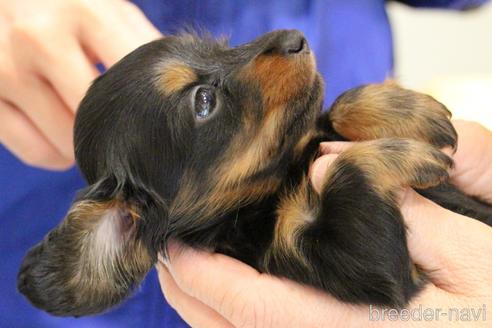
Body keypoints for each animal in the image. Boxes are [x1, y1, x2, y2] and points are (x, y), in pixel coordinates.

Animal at [16, 29, 492, 316]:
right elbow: (346, 164)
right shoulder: (364, 267)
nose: (294, 37)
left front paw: (411, 110)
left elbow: (334, 111)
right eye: (203, 102)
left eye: (220, 46)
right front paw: (408, 151)